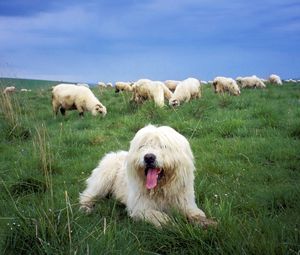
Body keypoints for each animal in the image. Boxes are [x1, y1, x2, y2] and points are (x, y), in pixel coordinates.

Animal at [79, 124, 216, 228]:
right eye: (142, 146)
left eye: (163, 146)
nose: (149, 157)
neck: (160, 190)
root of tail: (113, 154)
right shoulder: (140, 207)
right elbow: (158, 216)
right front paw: (171, 223)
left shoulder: (186, 202)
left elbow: (196, 213)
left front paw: (205, 222)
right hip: (103, 179)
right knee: (87, 195)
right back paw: (86, 207)